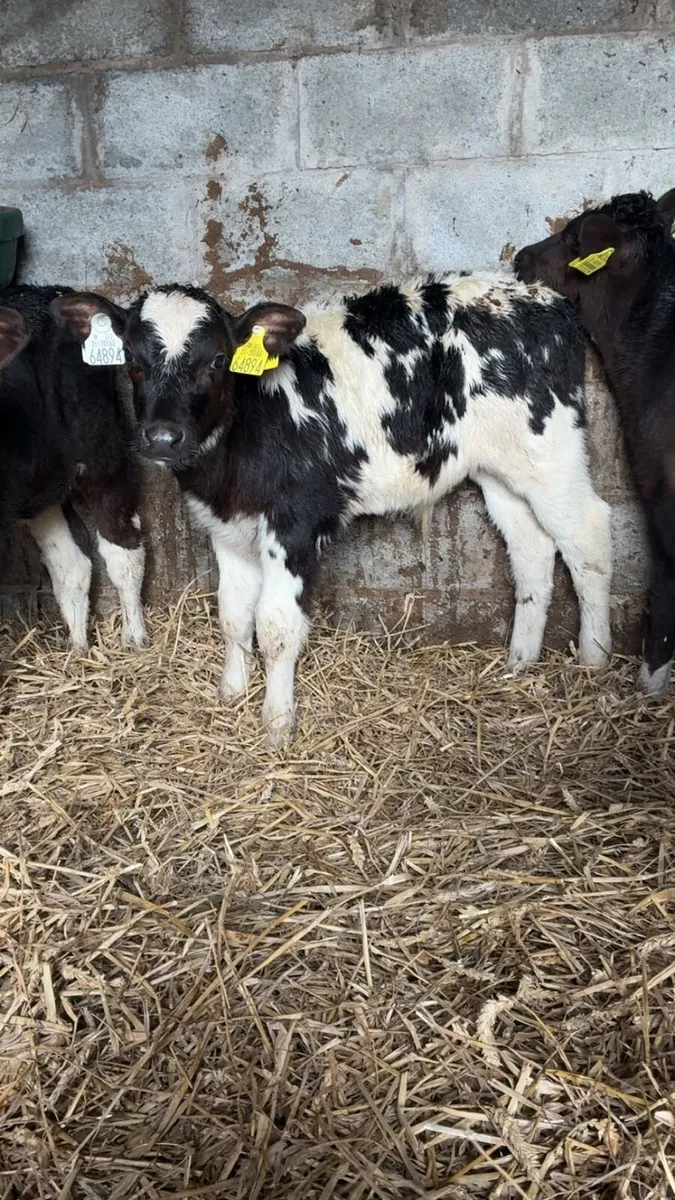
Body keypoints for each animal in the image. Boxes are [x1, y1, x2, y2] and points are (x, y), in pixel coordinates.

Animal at [0, 285, 146, 653]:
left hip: (103, 455)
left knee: (123, 551)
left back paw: (135, 637)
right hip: (41, 484)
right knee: (71, 565)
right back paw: (78, 647)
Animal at [52, 275, 613, 746]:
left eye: (217, 359)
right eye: (131, 358)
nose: (163, 438)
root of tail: (543, 296)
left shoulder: (295, 524)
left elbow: (276, 625)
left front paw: (276, 724)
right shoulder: (228, 526)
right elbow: (233, 614)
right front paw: (231, 692)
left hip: (551, 450)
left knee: (588, 538)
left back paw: (594, 660)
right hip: (499, 467)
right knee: (532, 549)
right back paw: (521, 661)